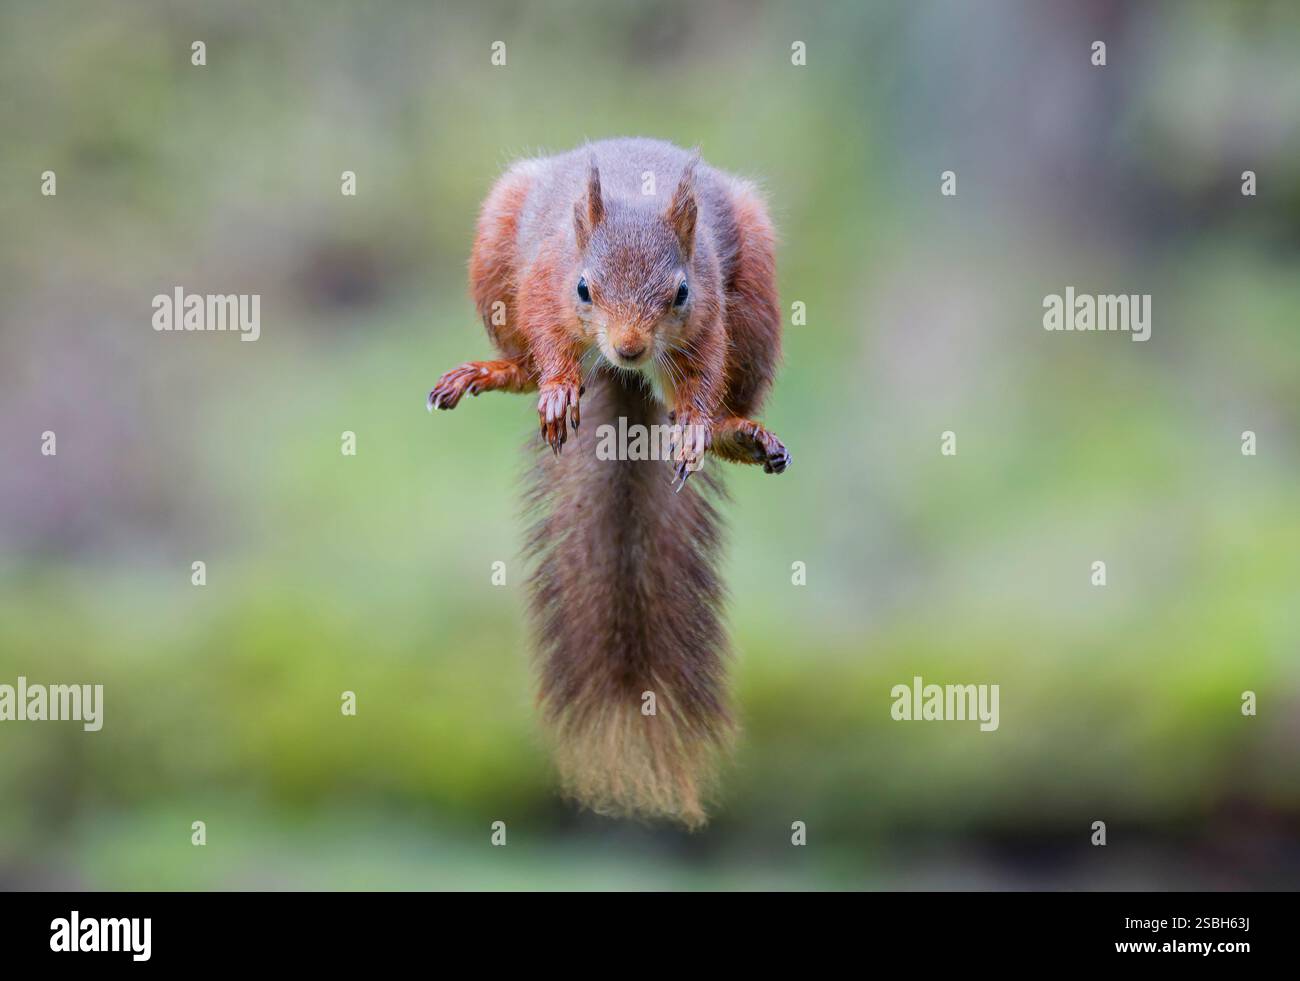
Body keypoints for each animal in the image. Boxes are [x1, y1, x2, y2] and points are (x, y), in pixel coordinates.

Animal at [428, 137, 788, 827]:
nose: (629, 346)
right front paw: (558, 387)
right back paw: (506, 373)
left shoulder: (709, 312)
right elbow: (547, 335)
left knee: (731, 393)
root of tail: (625, 376)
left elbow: (704, 374)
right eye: (583, 287)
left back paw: (736, 432)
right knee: (523, 363)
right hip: (495, 248)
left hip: (757, 296)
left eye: (679, 293)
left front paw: (696, 428)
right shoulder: (543, 281)